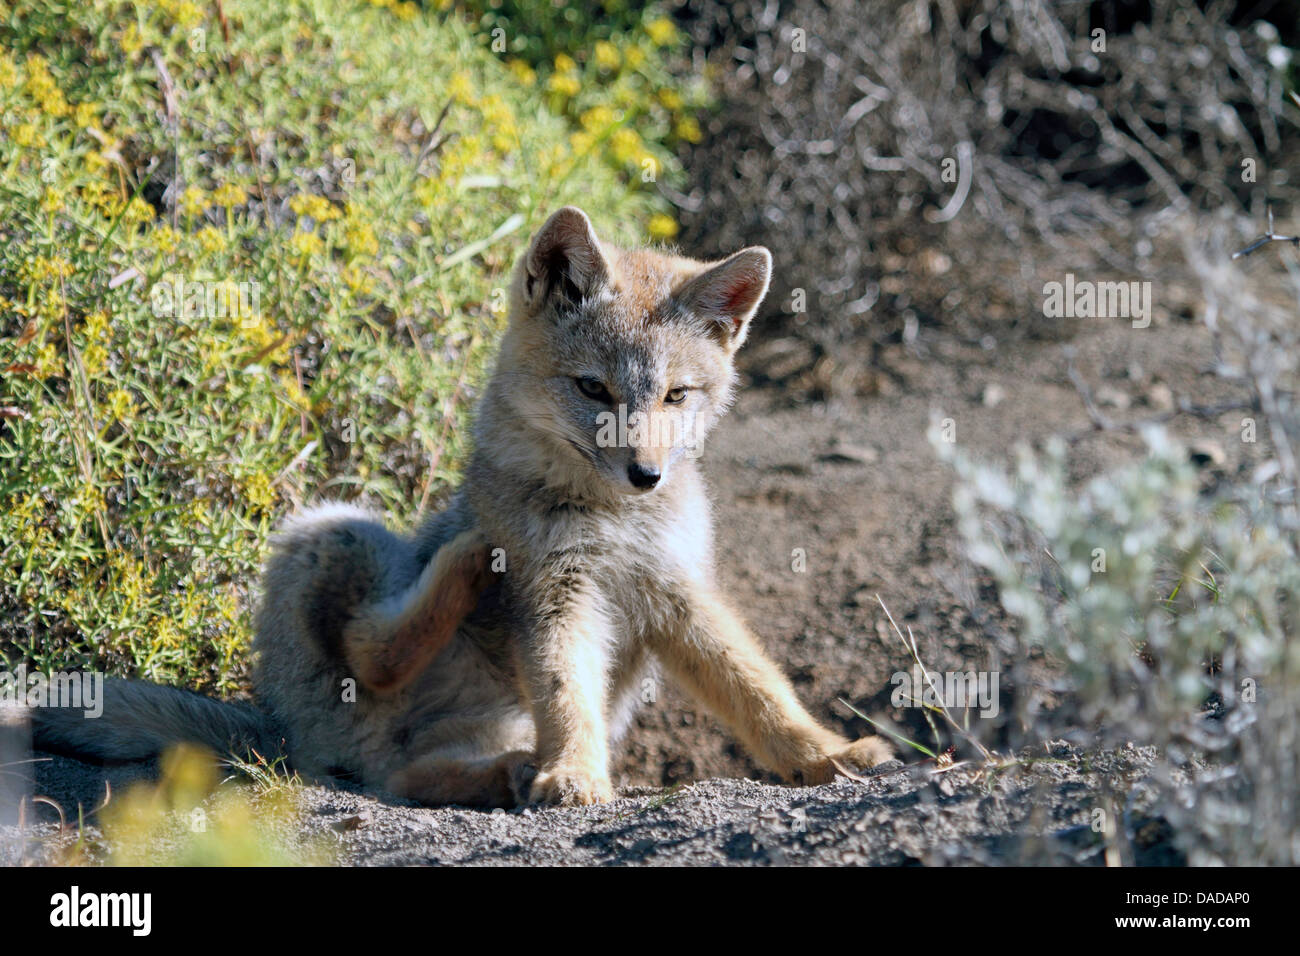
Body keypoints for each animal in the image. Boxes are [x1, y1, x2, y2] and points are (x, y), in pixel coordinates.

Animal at [35, 209, 889, 806]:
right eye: (593, 389)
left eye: (677, 396)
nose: (645, 473)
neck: (614, 523)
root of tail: (281, 730)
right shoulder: (552, 592)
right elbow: (565, 692)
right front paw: (575, 773)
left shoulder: (677, 595)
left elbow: (759, 691)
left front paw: (826, 755)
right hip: (335, 528)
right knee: (370, 660)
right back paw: (464, 574)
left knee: (412, 777)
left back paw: (503, 771)